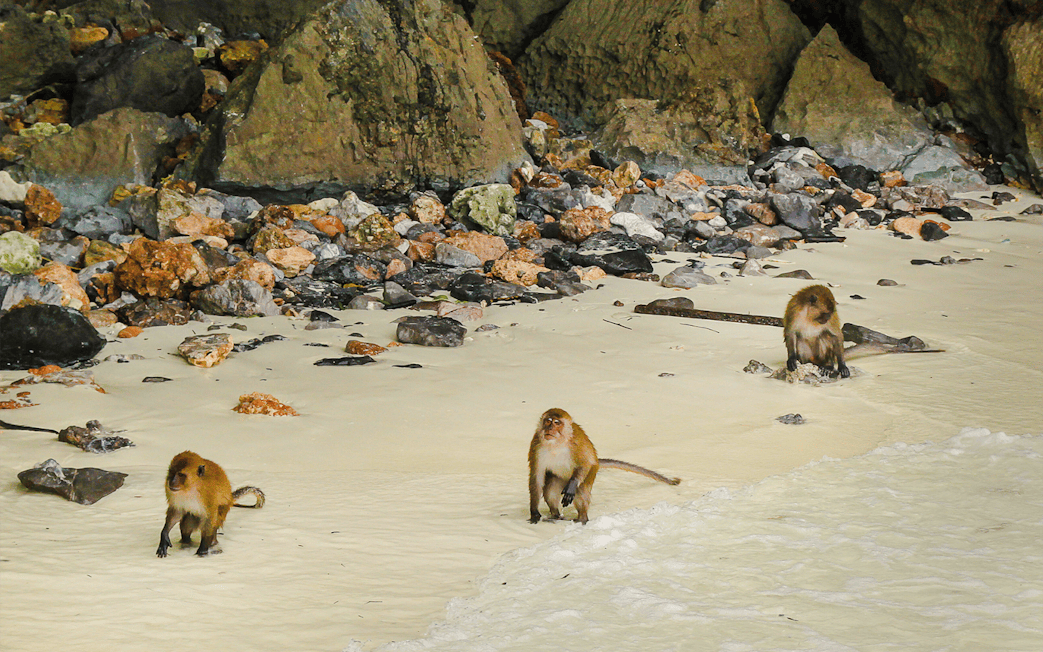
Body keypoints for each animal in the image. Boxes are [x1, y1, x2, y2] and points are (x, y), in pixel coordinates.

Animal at [528, 408, 680, 525]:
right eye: (548, 421)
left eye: (557, 423)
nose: (549, 428)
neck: (556, 444)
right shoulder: (536, 445)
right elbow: (536, 478)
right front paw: (535, 513)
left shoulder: (576, 445)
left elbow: (585, 462)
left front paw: (572, 485)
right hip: (559, 477)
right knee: (550, 490)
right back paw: (555, 516)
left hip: (591, 473)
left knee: (581, 490)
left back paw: (581, 519)